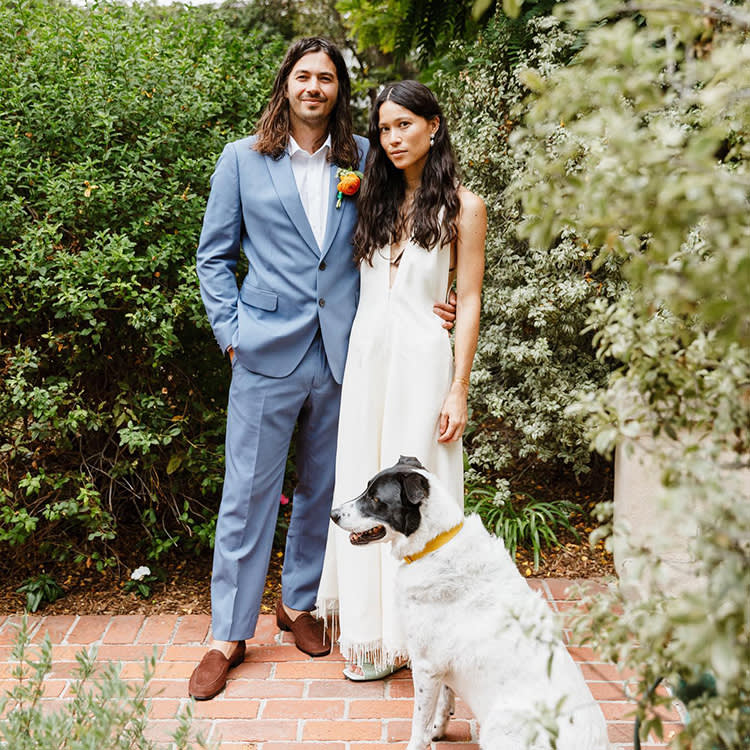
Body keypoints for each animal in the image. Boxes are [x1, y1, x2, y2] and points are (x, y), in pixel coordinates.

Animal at [332, 458, 612, 750]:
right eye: (366, 490)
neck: (433, 545)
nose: (333, 514)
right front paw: (439, 731)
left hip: (498, 728)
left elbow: (419, 725)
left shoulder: (426, 666)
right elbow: (445, 703)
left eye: (376, 499)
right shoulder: (441, 668)